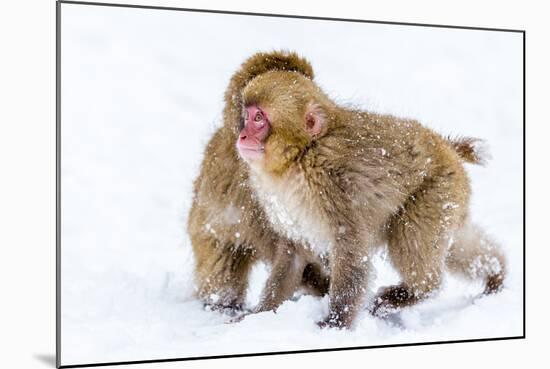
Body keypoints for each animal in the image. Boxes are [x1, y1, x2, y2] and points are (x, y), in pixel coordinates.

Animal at [237, 53, 508, 326]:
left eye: (259, 119)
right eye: (246, 116)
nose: (242, 135)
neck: (299, 156)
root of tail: (446, 147)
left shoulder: (331, 187)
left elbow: (351, 251)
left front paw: (334, 323)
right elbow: (292, 254)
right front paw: (259, 315)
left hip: (435, 192)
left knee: (412, 238)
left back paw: (414, 292)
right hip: (451, 199)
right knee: (455, 244)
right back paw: (495, 272)